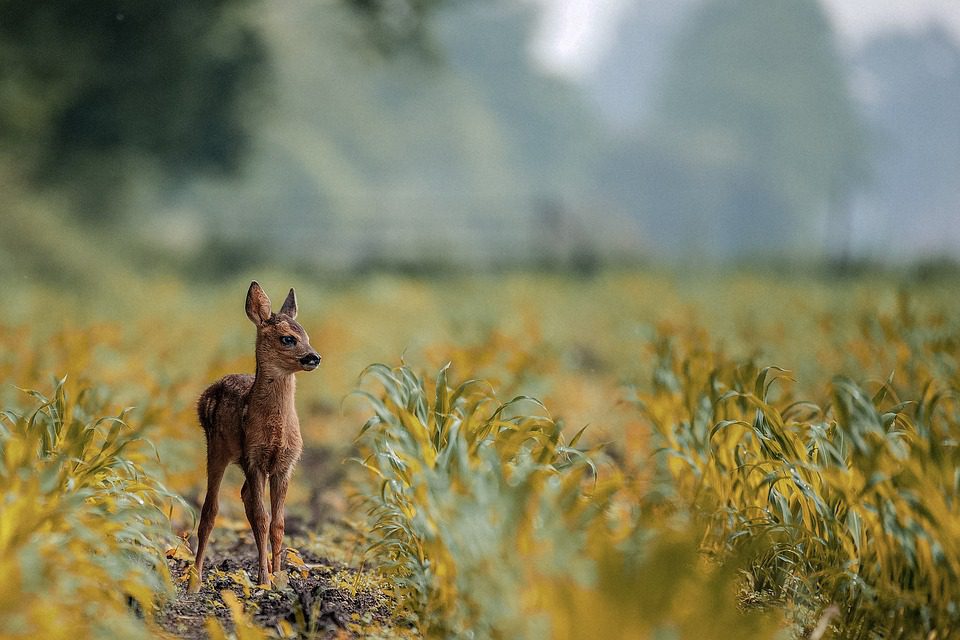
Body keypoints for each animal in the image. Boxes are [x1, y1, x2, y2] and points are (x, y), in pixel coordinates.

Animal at [192, 280, 322, 592]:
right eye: (288, 339)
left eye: (306, 335)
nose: (314, 357)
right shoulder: (253, 458)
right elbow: (263, 519)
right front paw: (264, 580)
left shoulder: (285, 464)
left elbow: (278, 523)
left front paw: (279, 578)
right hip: (216, 448)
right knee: (210, 510)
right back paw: (195, 579)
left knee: (244, 499)